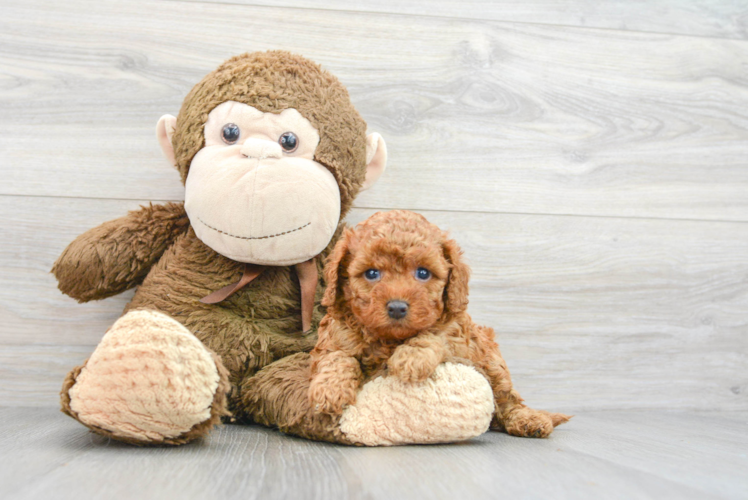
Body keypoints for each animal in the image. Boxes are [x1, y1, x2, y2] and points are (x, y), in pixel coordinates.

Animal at [306, 211, 568, 438]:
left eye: (423, 273)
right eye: (371, 273)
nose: (397, 307)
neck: (390, 339)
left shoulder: (458, 334)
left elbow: (434, 334)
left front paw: (411, 357)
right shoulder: (333, 337)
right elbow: (337, 357)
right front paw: (329, 389)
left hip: (492, 360)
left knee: (507, 398)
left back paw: (529, 420)